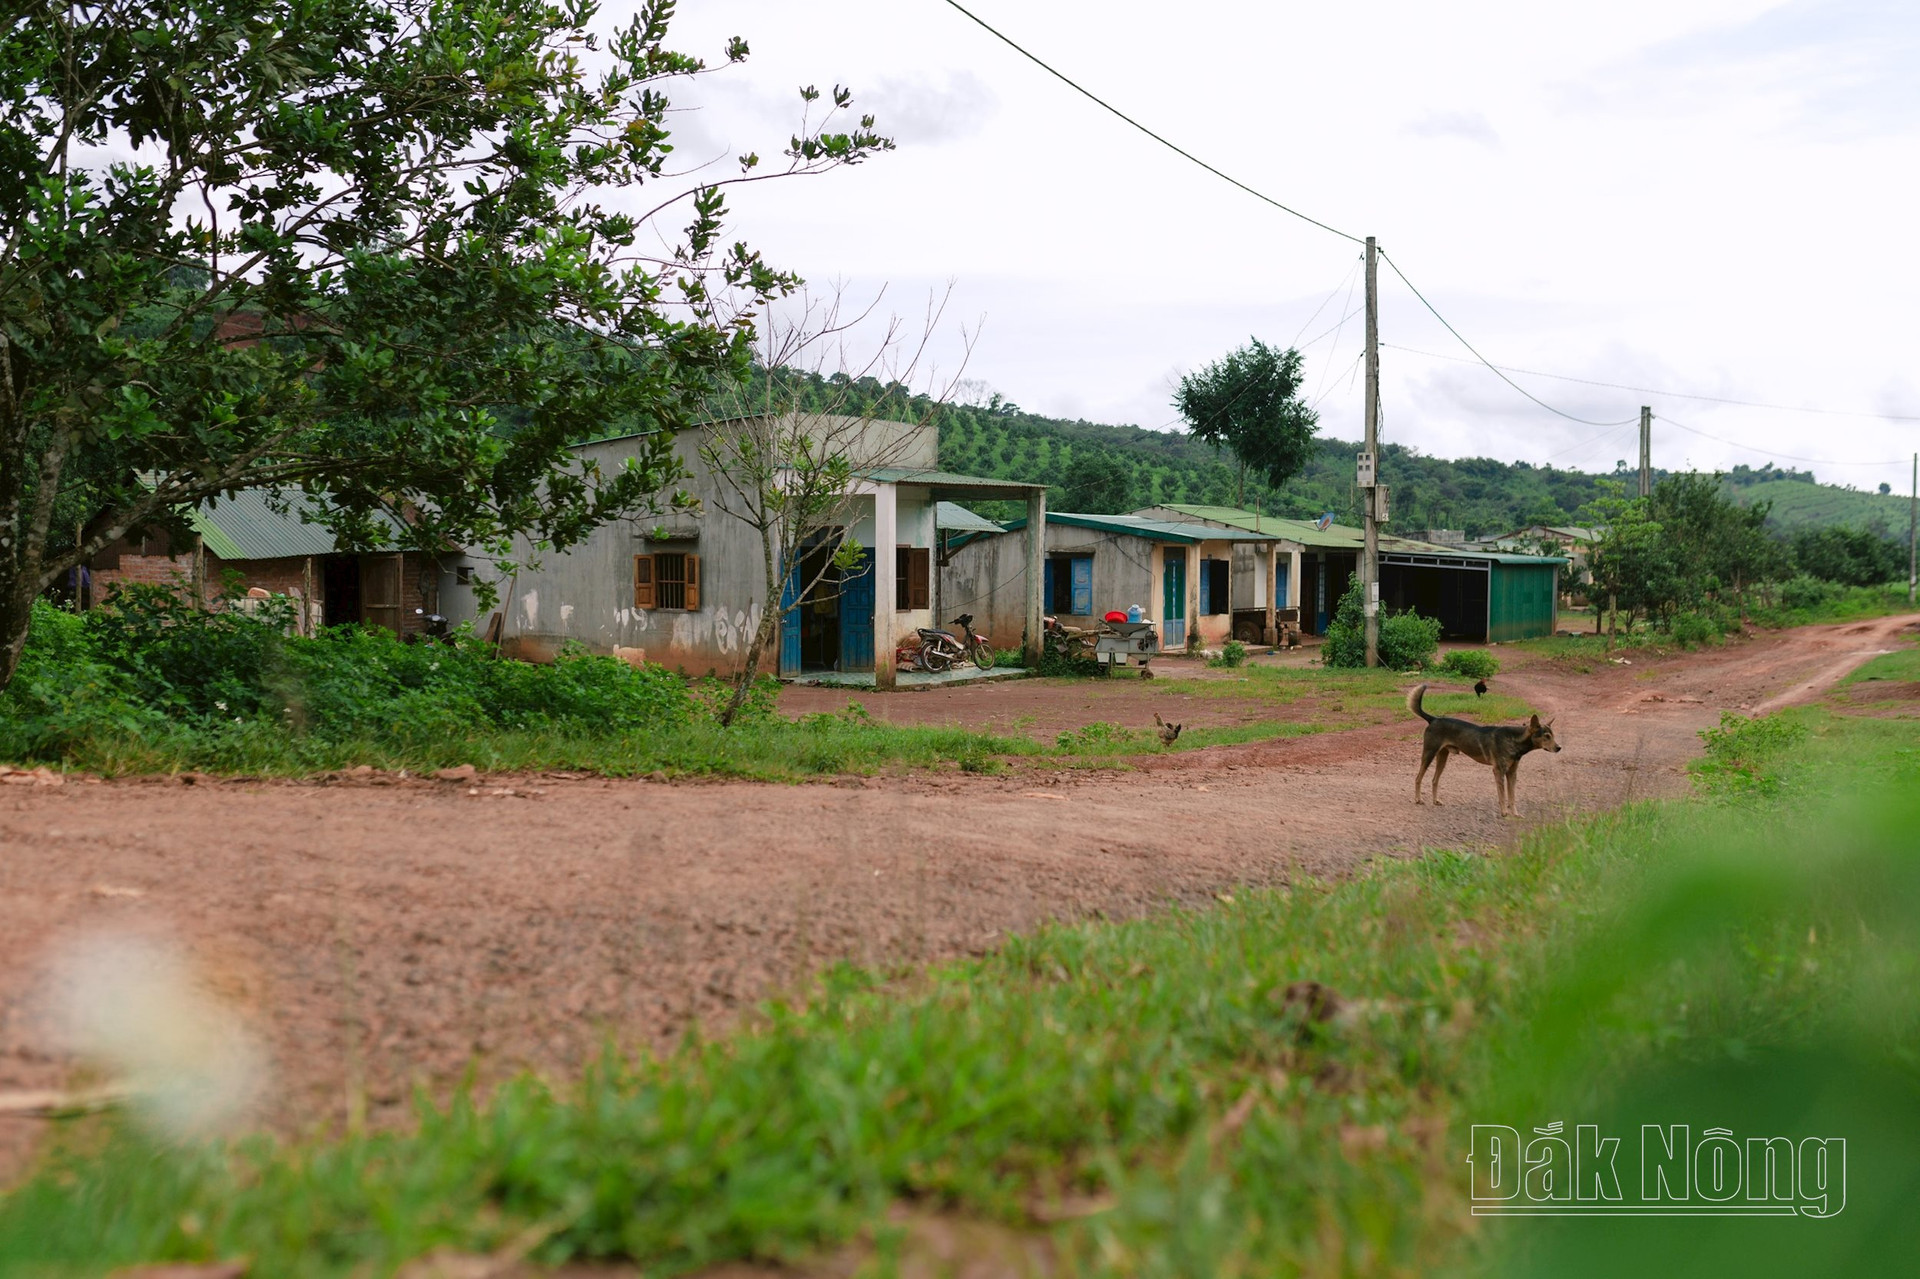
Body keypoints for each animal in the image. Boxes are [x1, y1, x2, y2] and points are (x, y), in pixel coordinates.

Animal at [1413, 683, 1559, 810]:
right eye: (1546, 736)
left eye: (1553, 735)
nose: (1559, 748)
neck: (1514, 740)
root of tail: (1434, 719)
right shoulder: (1498, 771)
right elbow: (1502, 796)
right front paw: (1504, 813)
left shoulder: (1512, 773)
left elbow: (1512, 797)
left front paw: (1515, 814)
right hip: (1429, 754)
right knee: (1418, 778)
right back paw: (1418, 799)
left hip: (1442, 757)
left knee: (1434, 780)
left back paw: (1435, 801)